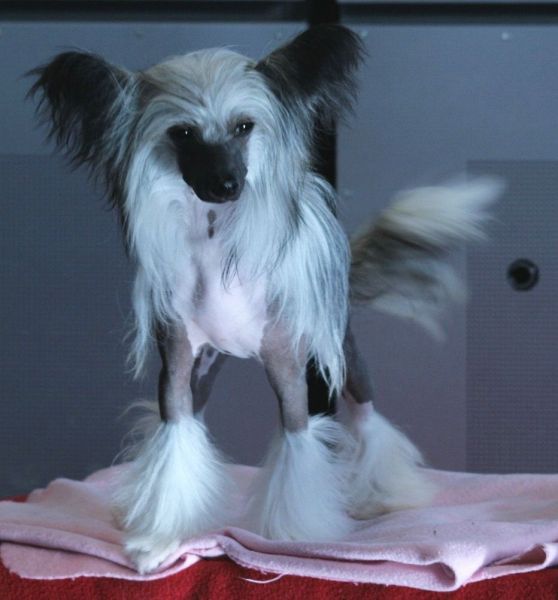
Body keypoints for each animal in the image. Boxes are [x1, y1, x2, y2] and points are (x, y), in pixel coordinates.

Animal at [29, 25, 498, 573]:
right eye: (182, 133)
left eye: (244, 126)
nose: (227, 185)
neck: (215, 244)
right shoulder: (178, 368)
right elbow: (175, 438)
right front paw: (160, 539)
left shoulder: (287, 367)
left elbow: (297, 440)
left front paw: (295, 534)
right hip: (206, 369)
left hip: (345, 356)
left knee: (367, 419)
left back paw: (383, 494)